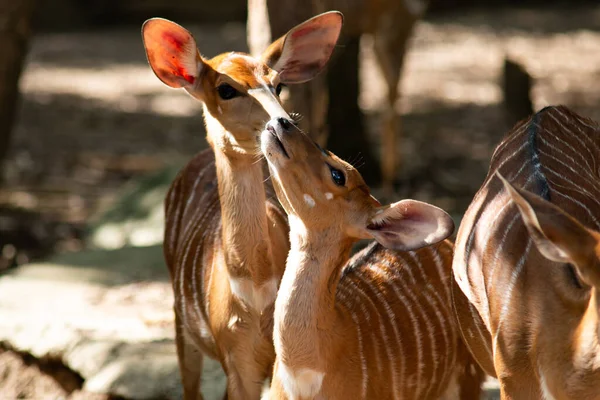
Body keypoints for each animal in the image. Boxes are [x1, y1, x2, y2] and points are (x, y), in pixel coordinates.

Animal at [142, 13, 342, 400]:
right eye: (226, 88)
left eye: (277, 84)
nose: (283, 121)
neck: (255, 290)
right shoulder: (236, 357)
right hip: (180, 324)